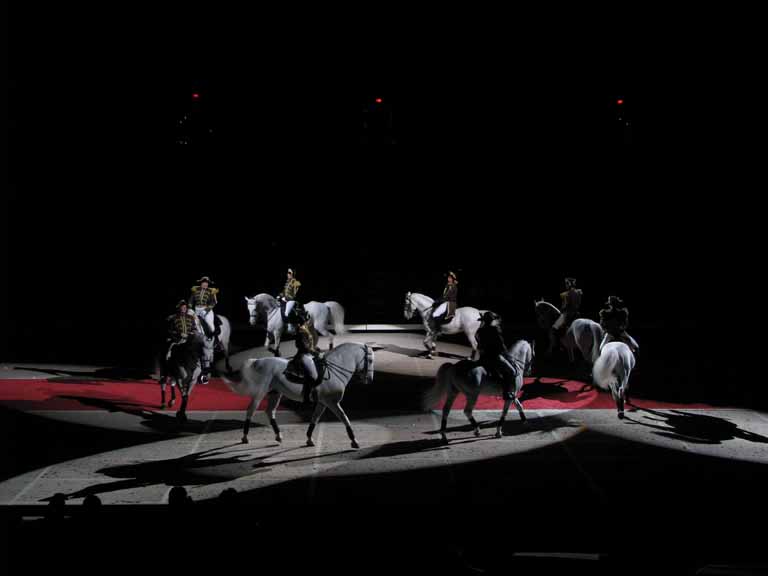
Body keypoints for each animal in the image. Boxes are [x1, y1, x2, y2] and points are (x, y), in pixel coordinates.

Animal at [222, 344, 376, 448]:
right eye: (370, 360)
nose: (369, 380)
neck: (334, 369)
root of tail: (258, 361)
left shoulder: (322, 403)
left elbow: (314, 419)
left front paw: (309, 439)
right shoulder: (331, 402)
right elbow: (345, 418)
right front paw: (354, 441)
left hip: (275, 393)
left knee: (270, 412)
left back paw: (278, 436)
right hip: (260, 393)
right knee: (250, 411)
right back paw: (245, 437)